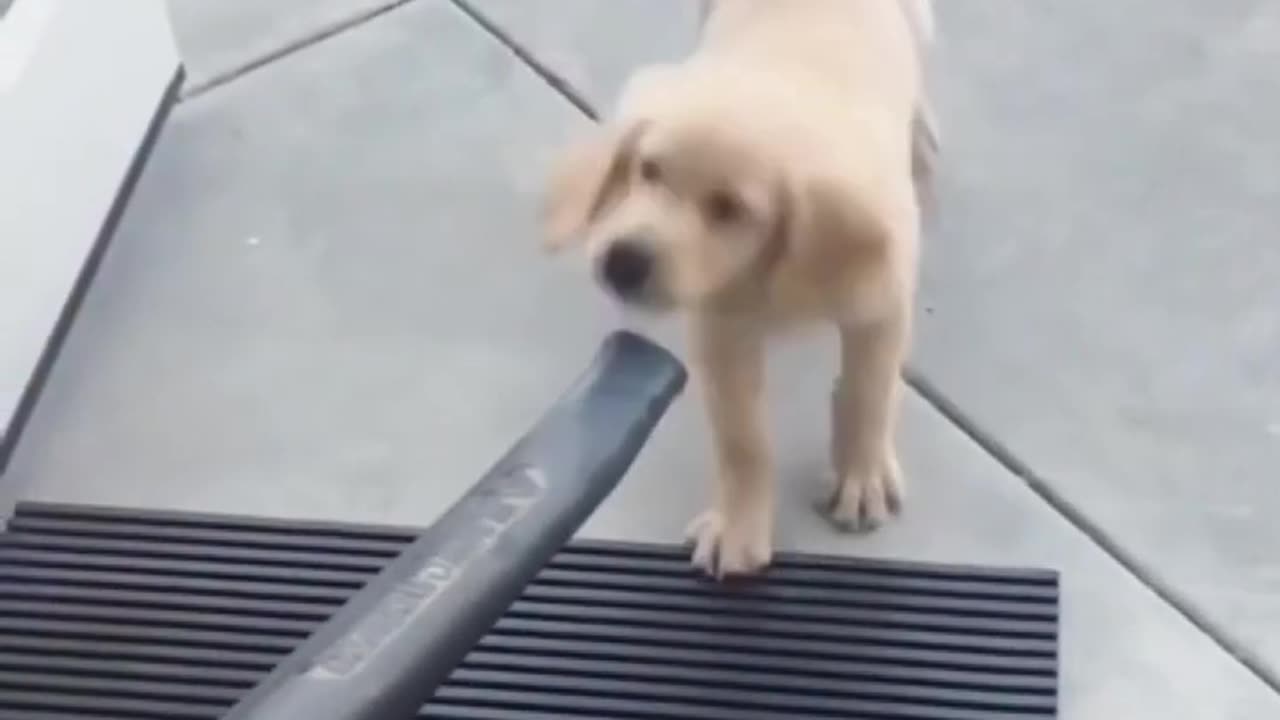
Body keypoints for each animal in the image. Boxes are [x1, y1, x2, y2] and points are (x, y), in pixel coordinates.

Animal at [545, 0, 936, 571]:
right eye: (648, 170)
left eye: (729, 209)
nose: (622, 262)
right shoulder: (721, 330)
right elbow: (742, 438)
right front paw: (739, 525)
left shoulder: (881, 300)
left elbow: (869, 390)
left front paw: (860, 478)